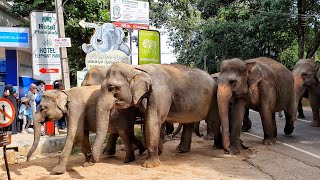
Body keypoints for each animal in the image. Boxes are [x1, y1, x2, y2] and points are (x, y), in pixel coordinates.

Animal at [92, 62, 222, 167]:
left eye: (111, 88)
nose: (92, 162)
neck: (136, 68)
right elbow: (153, 121)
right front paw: (157, 153)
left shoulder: (159, 93)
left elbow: (153, 120)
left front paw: (149, 165)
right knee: (189, 122)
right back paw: (182, 150)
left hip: (214, 100)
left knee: (214, 121)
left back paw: (218, 147)